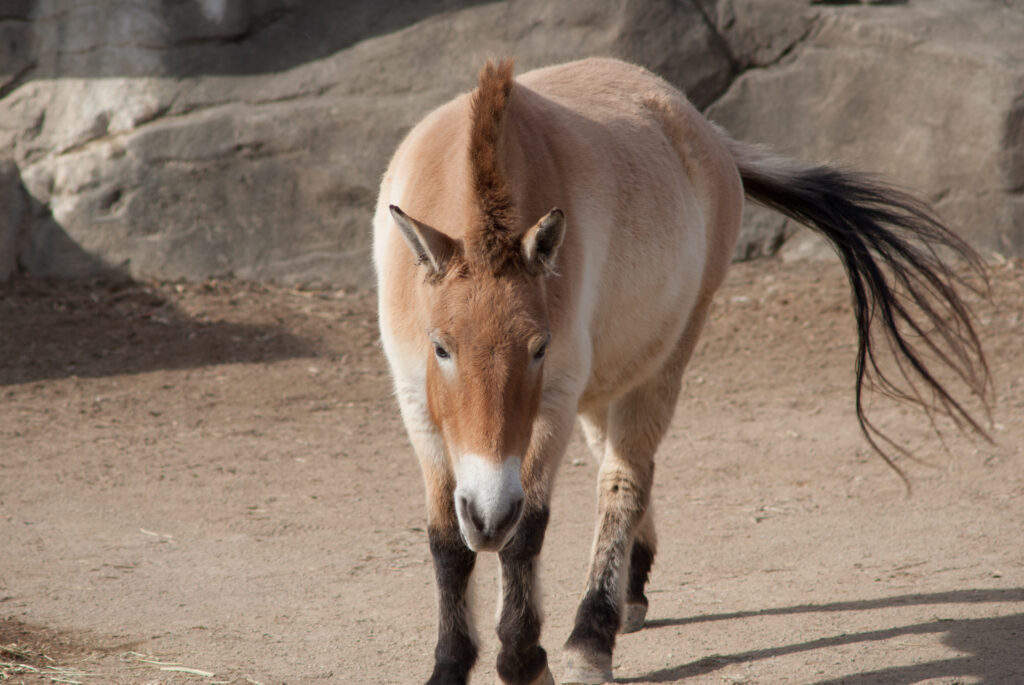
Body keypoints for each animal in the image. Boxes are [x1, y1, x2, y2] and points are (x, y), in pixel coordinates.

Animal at [372, 57, 990, 685]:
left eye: (539, 348)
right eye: (441, 348)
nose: (489, 516)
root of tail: (708, 133)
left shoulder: (554, 400)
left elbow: (529, 531)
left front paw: (525, 662)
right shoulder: (417, 404)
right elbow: (447, 542)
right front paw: (450, 666)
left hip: (662, 362)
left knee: (623, 479)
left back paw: (593, 635)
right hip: (612, 376)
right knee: (619, 467)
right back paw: (629, 592)